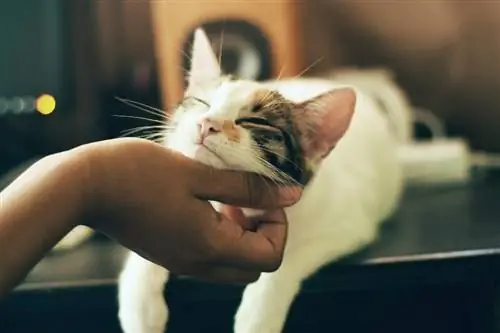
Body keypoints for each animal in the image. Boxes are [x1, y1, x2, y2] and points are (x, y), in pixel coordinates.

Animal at [116, 29, 410, 332]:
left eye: (253, 122)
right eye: (201, 103)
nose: (206, 123)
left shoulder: (348, 225)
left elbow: (287, 261)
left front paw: (257, 317)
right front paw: (140, 307)